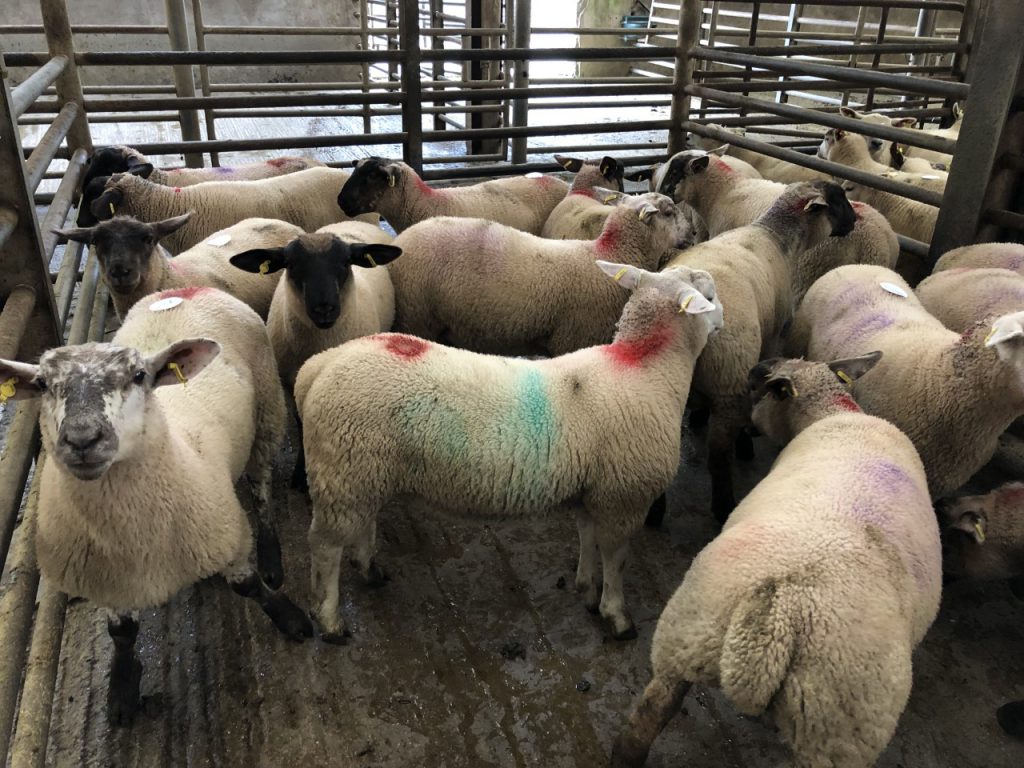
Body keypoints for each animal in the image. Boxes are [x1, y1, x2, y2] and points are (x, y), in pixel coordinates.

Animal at [0, 287, 312, 725]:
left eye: (138, 376)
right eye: (42, 383)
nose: (82, 439)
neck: (136, 540)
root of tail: (185, 289)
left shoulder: (225, 535)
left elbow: (247, 585)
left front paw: (288, 616)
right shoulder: (106, 581)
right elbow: (121, 634)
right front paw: (122, 689)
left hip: (267, 410)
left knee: (261, 485)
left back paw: (270, 549)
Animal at [293, 261, 724, 643]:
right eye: (709, 296)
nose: (722, 321)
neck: (644, 366)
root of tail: (318, 368)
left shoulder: (593, 490)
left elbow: (588, 540)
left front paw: (586, 590)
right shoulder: (624, 497)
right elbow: (616, 559)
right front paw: (617, 617)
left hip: (361, 468)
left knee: (362, 522)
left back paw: (370, 570)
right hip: (343, 470)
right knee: (324, 547)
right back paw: (330, 622)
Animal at [388, 192, 699, 357]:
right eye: (669, 212)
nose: (694, 234)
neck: (613, 256)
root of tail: (400, 240)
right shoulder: (574, 339)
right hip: (417, 314)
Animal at [611, 354, 941, 768]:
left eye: (760, 386)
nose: (747, 428)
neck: (831, 414)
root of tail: (777, 610)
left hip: (685, 636)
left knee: (642, 726)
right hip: (834, 732)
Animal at [661, 180, 856, 522]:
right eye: (837, 200)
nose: (856, 220)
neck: (775, 237)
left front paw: (697, 415)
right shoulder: (772, 334)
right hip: (730, 377)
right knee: (718, 458)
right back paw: (725, 502)